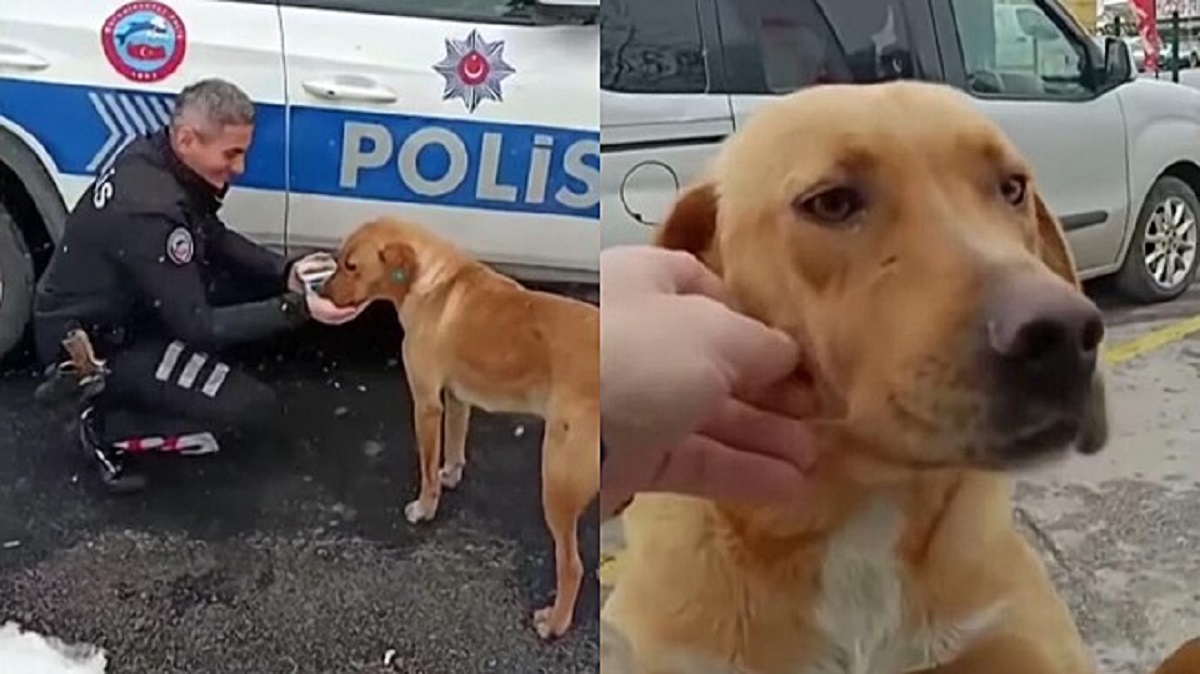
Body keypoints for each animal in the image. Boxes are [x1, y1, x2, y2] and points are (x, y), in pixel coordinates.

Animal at [321, 218, 600, 638]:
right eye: (339, 261)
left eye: (351, 266)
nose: (321, 292)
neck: (430, 280)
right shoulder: (456, 399)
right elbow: (453, 445)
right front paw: (450, 474)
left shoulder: (426, 404)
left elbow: (426, 467)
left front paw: (425, 507)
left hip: (558, 481)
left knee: (572, 565)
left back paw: (555, 622)